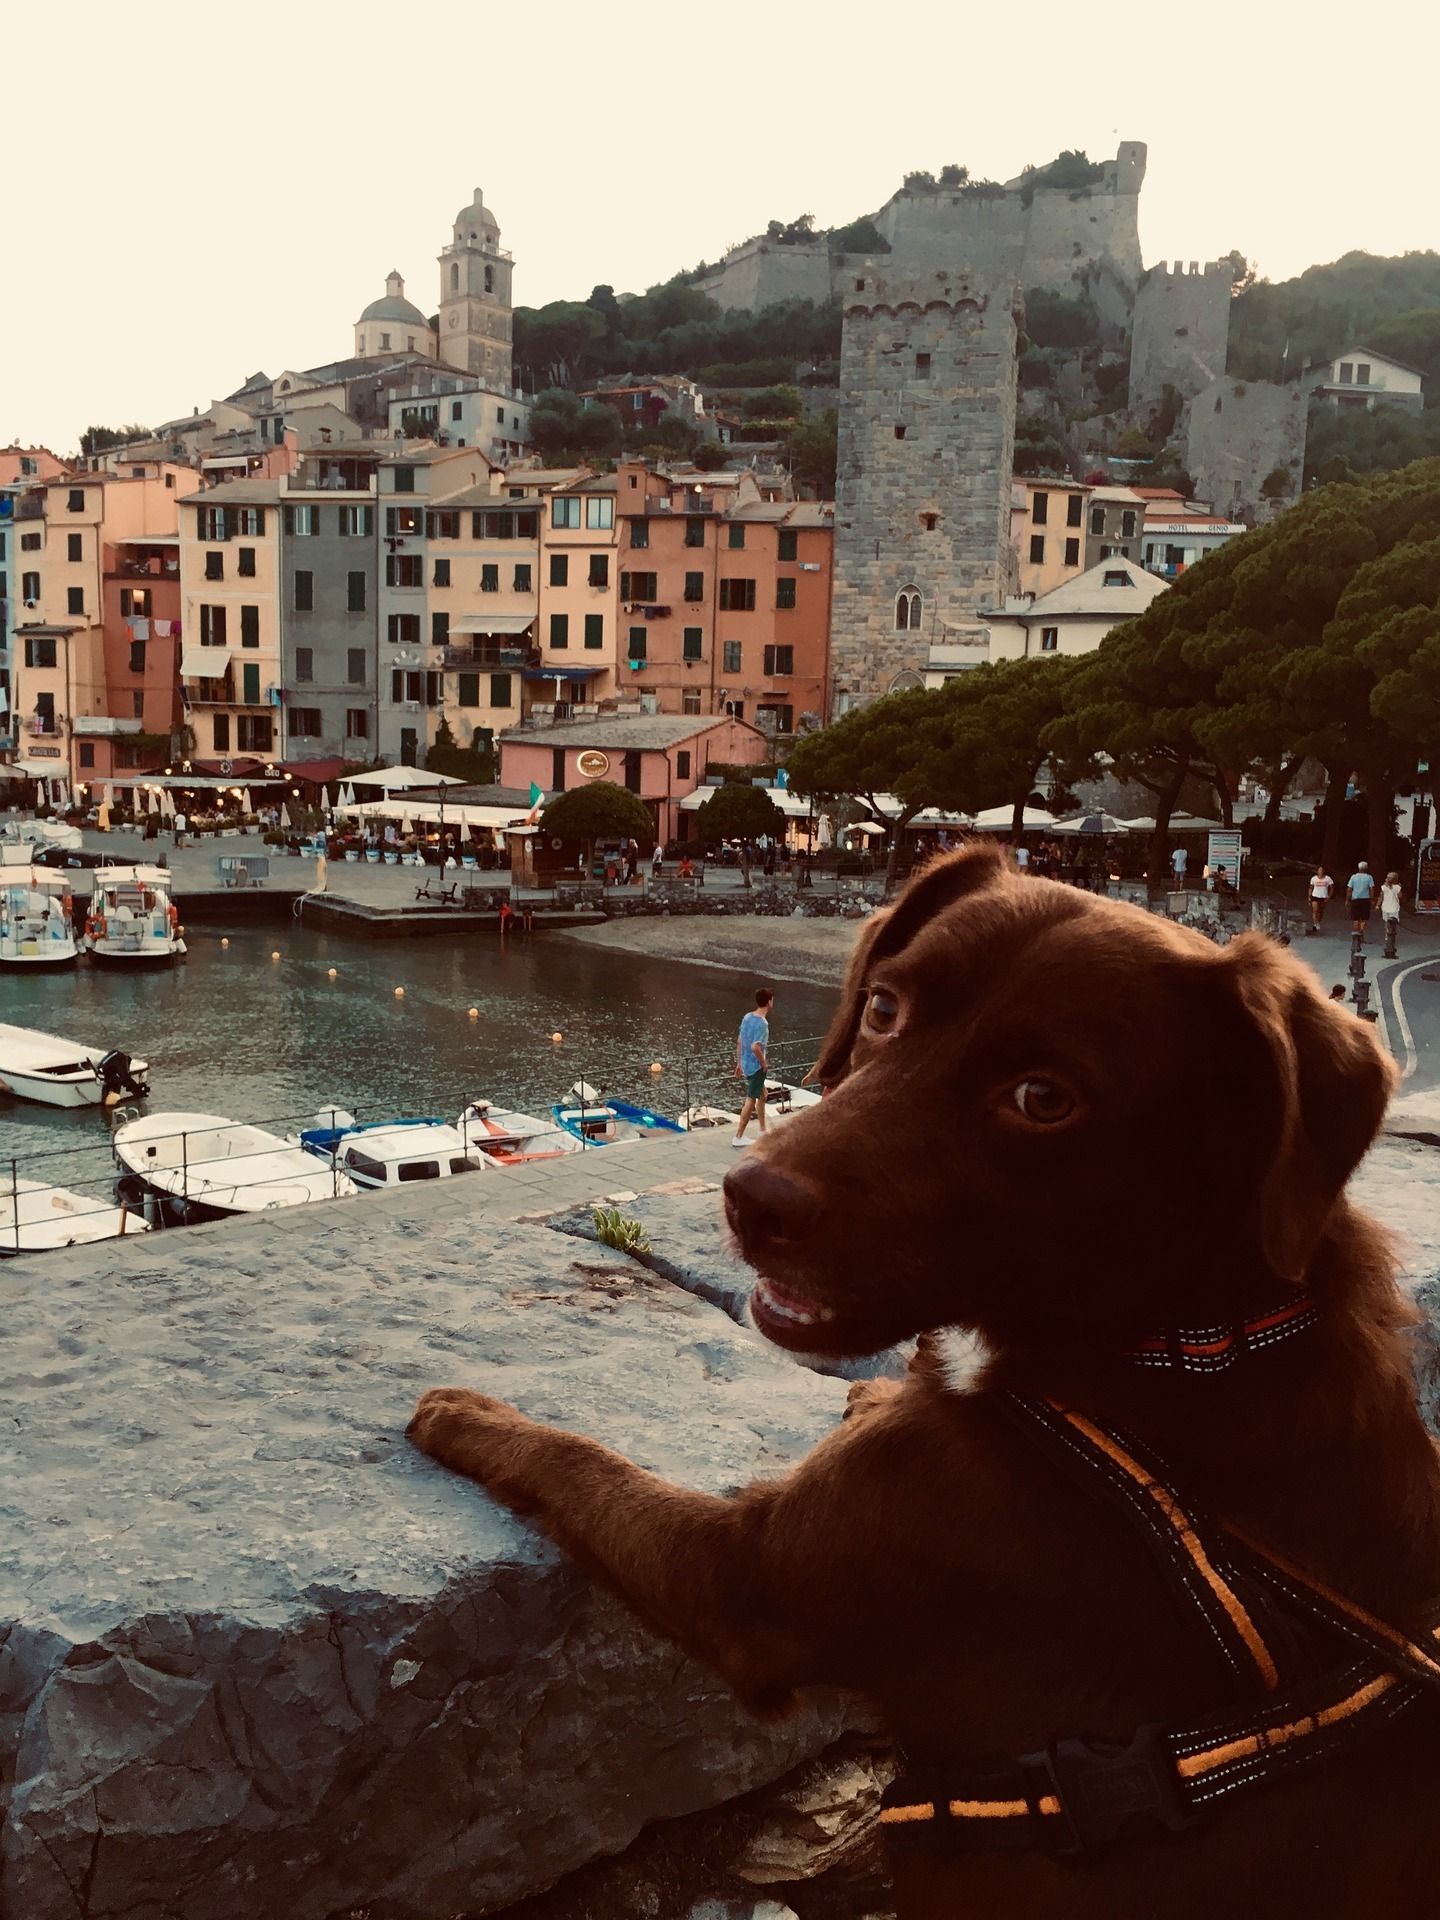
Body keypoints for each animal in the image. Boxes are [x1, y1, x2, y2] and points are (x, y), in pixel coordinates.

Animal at [408, 848, 1440, 1912]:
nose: (749, 1198)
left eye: (1042, 1098)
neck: (1191, 1338)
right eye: (884, 1007)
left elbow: (590, 1468)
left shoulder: (747, 1576)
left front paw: (466, 1413)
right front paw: (877, 1390)